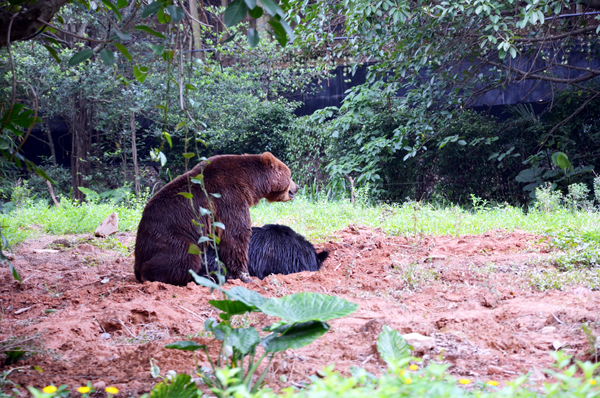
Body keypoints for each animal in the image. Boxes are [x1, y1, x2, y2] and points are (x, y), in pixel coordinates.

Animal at [134, 152, 298, 286]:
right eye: (289, 175)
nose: (296, 188)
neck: (251, 182)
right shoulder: (228, 195)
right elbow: (236, 234)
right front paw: (245, 276)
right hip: (168, 238)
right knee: (185, 256)